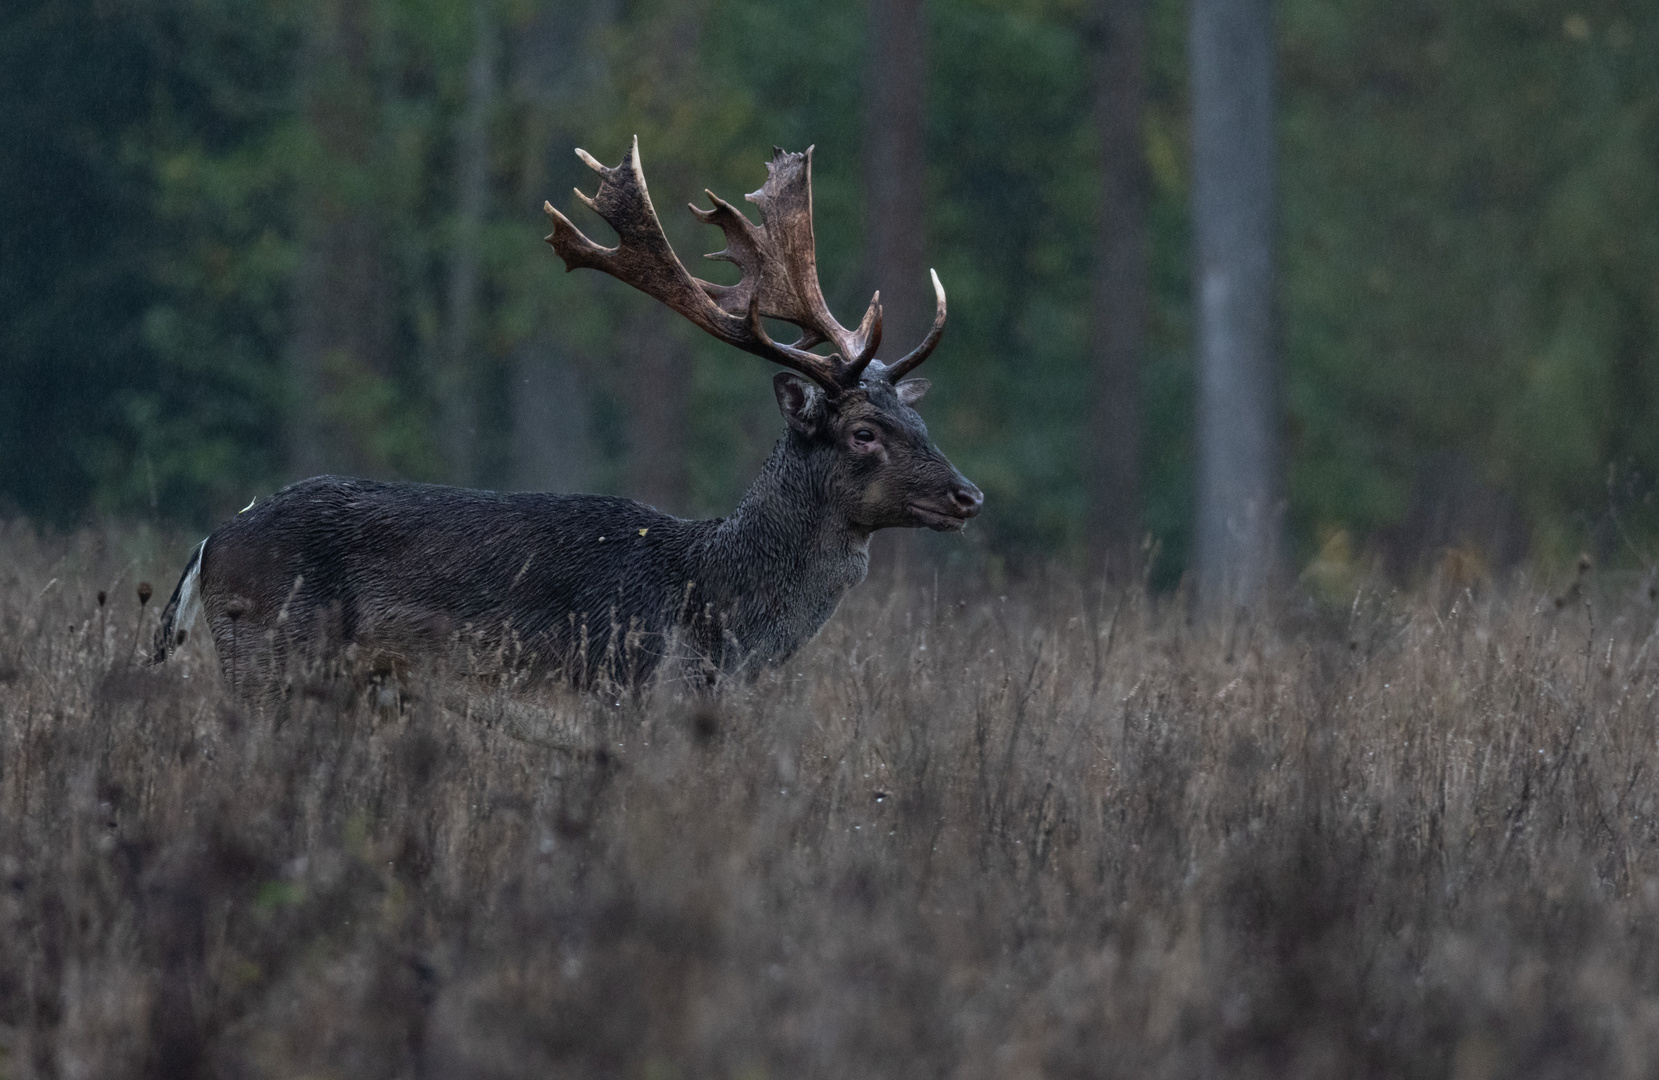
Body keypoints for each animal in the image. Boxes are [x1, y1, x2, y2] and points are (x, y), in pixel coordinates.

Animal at [149, 141, 975, 693]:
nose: (968, 495)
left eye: (921, 425)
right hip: (271, 659)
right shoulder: (627, 688)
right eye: (863, 432)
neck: (715, 615)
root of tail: (209, 544)